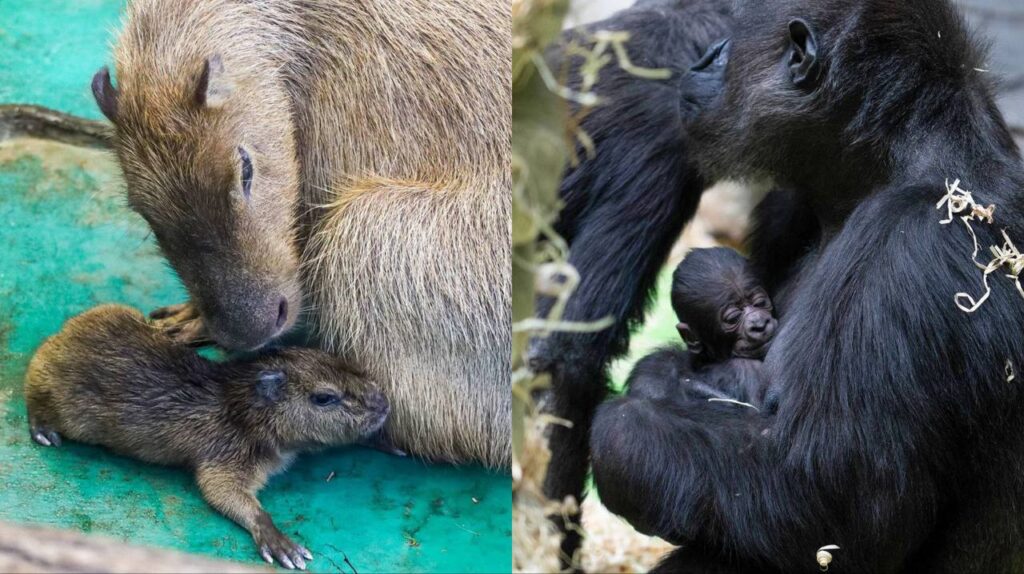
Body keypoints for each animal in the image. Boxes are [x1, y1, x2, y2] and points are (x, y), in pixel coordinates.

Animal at [27, 304, 391, 568]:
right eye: (324, 398)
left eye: (343, 363)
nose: (383, 402)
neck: (241, 406)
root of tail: (59, 336)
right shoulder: (226, 455)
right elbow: (222, 492)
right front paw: (282, 546)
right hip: (67, 407)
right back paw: (43, 430)